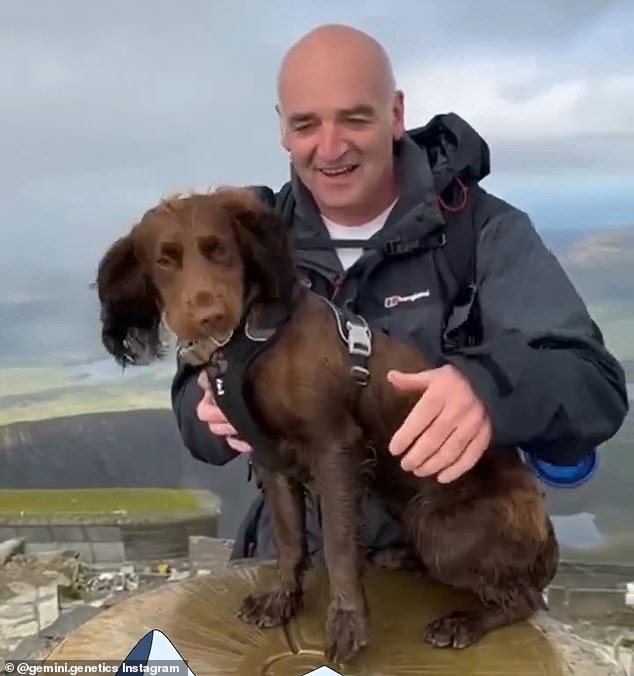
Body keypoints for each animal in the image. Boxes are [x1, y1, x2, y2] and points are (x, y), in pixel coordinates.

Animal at [95, 187, 556, 664]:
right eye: (164, 261)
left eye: (219, 248)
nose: (210, 316)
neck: (248, 343)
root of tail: (547, 540)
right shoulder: (272, 460)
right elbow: (289, 538)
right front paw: (281, 599)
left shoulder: (334, 449)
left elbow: (337, 545)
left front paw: (348, 623)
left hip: (441, 527)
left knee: (525, 599)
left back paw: (462, 622)